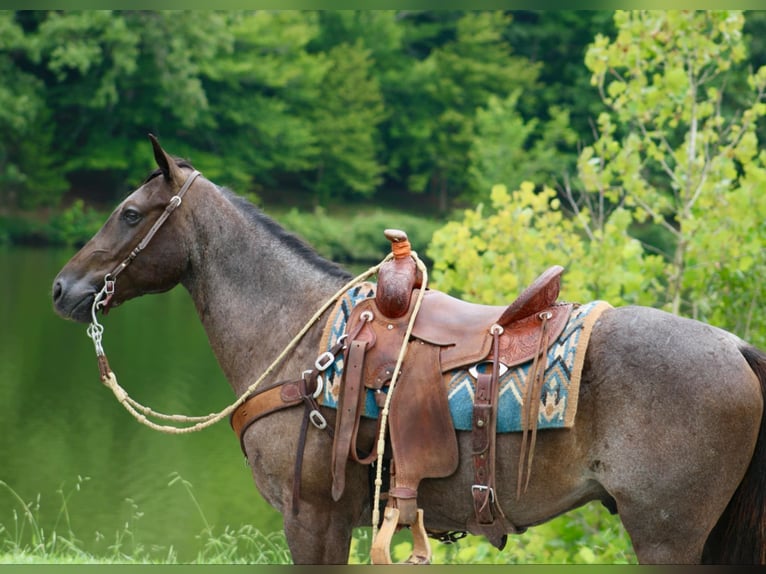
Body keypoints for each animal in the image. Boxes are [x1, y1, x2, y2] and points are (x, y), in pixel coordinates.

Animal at [52, 136, 766, 568]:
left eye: (130, 212)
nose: (63, 287)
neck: (301, 341)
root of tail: (735, 347)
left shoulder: (310, 518)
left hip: (668, 536)